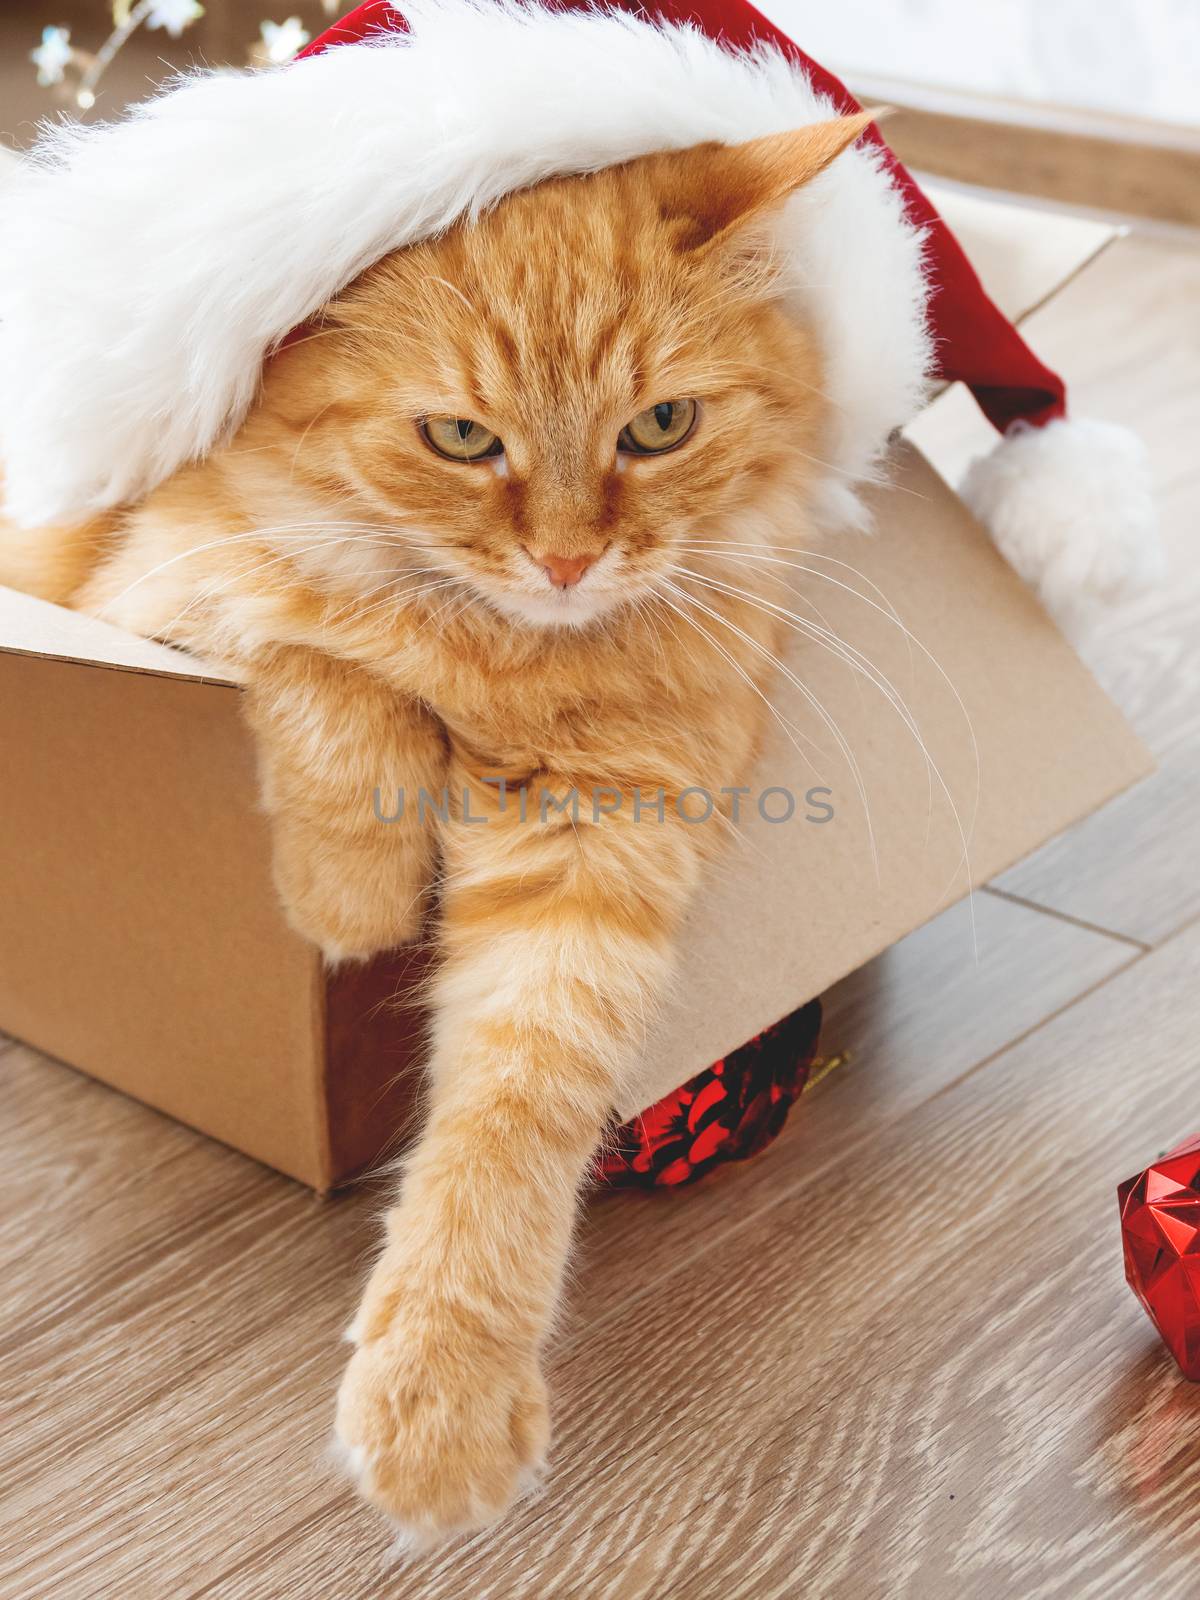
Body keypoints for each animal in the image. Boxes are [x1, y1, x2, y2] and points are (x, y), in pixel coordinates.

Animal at [0, 118, 876, 1542]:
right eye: (463, 438)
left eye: (662, 425)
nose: (571, 562)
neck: (509, 667)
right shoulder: (162, 598)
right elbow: (335, 669)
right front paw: (351, 897)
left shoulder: (594, 853)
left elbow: (508, 1120)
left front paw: (439, 1403)